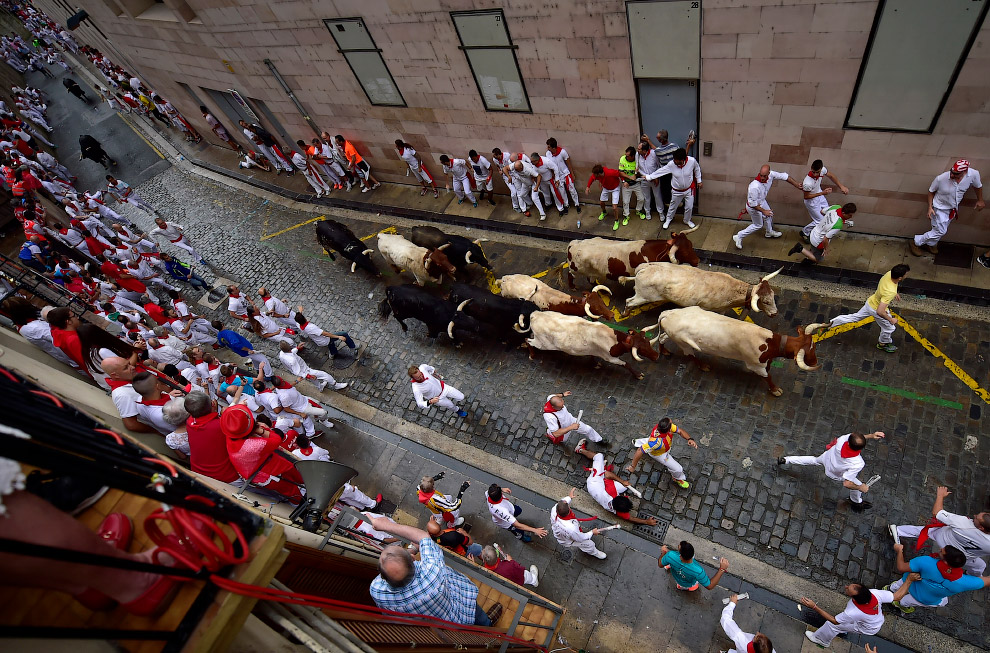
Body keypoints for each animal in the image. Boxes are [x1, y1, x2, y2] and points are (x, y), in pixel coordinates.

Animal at [656, 306, 824, 398]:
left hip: (671, 334)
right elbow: (767, 376)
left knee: (662, 337)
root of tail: (668, 313)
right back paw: (703, 366)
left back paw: (664, 351)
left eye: (814, 347)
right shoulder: (755, 365)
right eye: (810, 351)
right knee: (690, 355)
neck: (769, 343)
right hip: (683, 343)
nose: (816, 361)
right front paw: (775, 390)